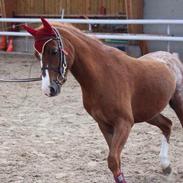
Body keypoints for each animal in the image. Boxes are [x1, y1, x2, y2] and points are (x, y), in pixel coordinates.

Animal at [22, 17, 183, 183]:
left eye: (54, 51)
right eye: (37, 55)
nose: (48, 89)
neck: (103, 75)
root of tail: (171, 57)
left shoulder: (124, 123)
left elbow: (113, 160)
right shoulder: (104, 124)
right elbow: (115, 161)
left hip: (177, 103)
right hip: (149, 113)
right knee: (167, 125)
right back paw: (166, 165)